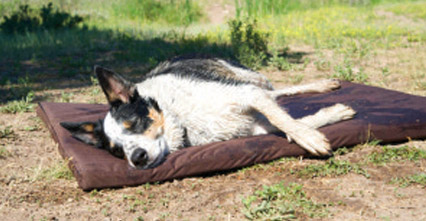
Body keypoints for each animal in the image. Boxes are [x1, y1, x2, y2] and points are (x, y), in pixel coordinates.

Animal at [60, 55, 356, 169]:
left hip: (251, 80)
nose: (137, 158)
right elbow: (297, 122)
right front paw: (328, 118)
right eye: (116, 151)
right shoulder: (254, 126)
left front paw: (312, 138)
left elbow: (286, 120)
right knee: (279, 96)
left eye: (132, 123)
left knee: (280, 91)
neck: (180, 117)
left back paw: (322, 85)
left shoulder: (248, 96)